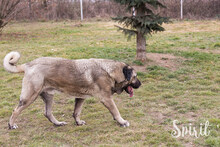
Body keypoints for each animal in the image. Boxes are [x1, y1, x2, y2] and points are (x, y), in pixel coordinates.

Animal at [3, 51, 141, 129]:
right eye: (135, 76)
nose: (140, 84)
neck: (110, 71)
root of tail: (28, 64)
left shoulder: (80, 97)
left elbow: (76, 112)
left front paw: (78, 122)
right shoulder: (107, 98)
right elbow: (116, 111)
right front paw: (122, 122)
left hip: (48, 96)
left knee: (47, 113)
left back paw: (58, 123)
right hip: (30, 97)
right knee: (15, 111)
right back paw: (11, 125)